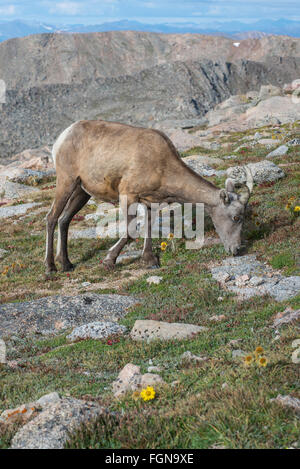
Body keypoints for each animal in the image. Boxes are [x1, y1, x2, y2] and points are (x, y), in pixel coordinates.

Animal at [45, 119, 253, 274]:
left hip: (82, 192)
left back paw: (66, 264)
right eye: (236, 217)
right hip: (66, 181)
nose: (236, 250)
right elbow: (131, 231)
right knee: (52, 218)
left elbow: (148, 227)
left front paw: (150, 260)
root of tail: (63, 136)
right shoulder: (127, 195)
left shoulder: (151, 203)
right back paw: (50, 267)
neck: (163, 165)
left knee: (64, 220)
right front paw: (109, 261)